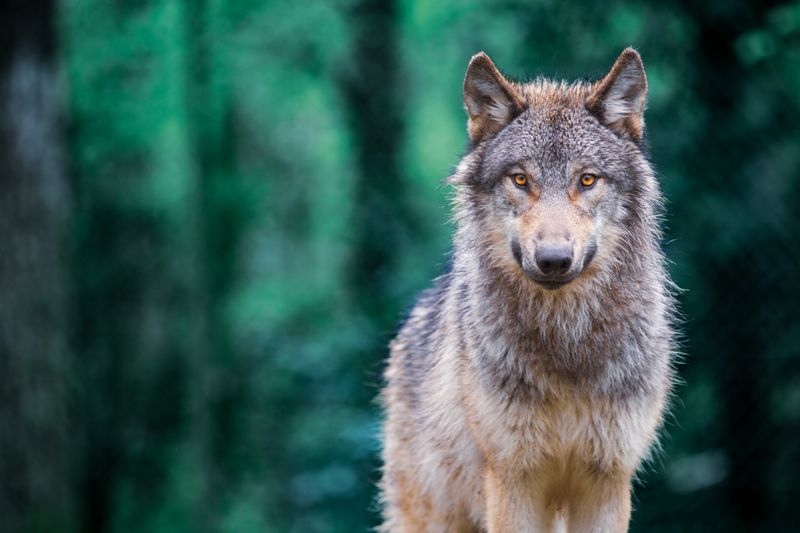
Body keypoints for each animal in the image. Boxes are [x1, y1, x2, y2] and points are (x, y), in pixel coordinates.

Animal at [380, 47, 676, 528]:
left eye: (587, 180)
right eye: (520, 179)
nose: (553, 259)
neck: (565, 345)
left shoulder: (607, 479)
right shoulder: (513, 479)